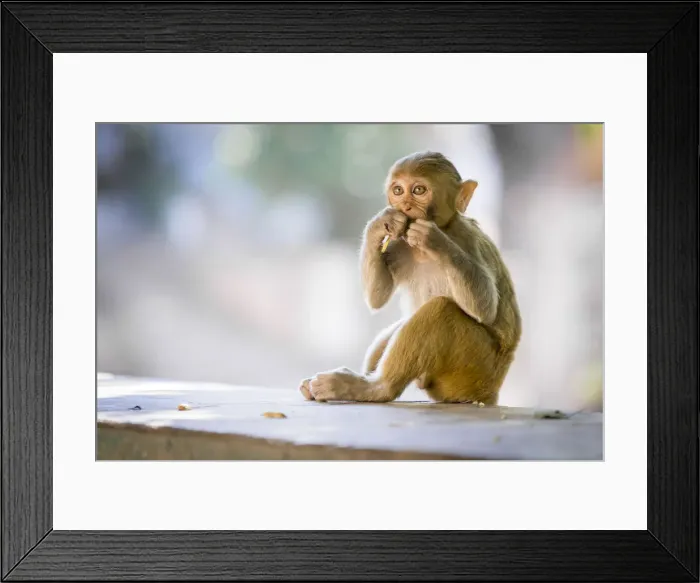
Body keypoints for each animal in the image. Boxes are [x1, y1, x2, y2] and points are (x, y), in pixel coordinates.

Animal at [299, 150, 522, 405]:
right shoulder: (398, 245)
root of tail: (490, 392)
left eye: (418, 190)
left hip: (474, 371)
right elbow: (378, 296)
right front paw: (379, 224)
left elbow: (485, 308)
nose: (405, 206)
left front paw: (435, 240)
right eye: (398, 190)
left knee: (441, 310)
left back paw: (373, 387)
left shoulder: (467, 239)